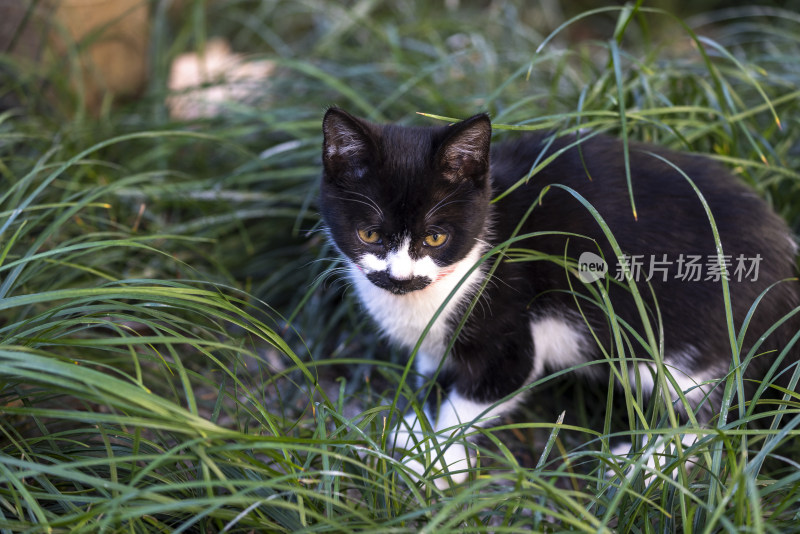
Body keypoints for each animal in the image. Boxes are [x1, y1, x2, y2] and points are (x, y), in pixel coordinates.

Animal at [320, 108, 800, 490]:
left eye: (435, 238)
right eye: (369, 234)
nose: (399, 277)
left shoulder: (509, 326)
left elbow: (480, 396)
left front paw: (437, 461)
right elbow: (432, 373)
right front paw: (413, 430)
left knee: (724, 423)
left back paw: (640, 466)